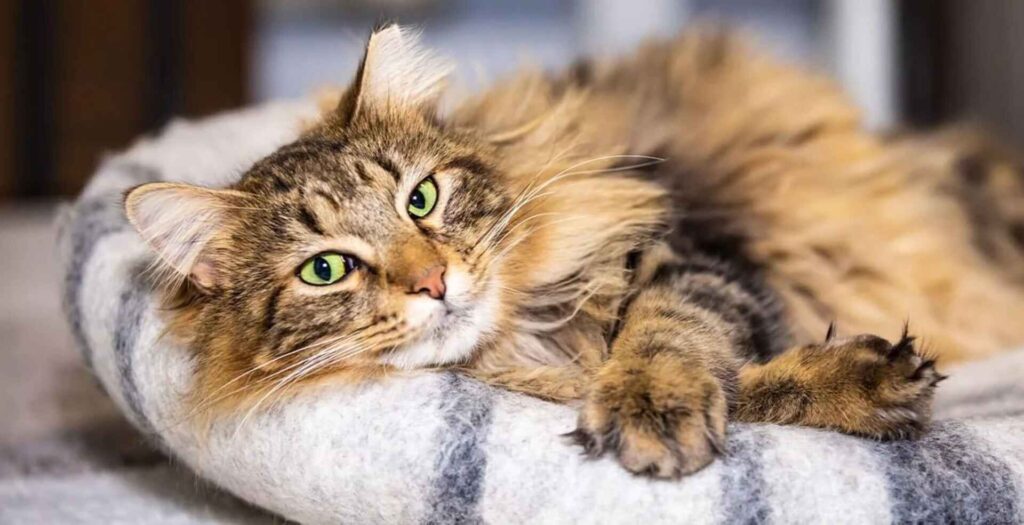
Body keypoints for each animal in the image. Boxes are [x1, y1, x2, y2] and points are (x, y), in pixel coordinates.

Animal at [123, 23, 1024, 474]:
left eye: (421, 198)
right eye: (325, 269)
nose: (433, 281)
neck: (530, 334)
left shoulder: (691, 256)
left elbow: (672, 334)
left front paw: (654, 400)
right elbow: (737, 387)